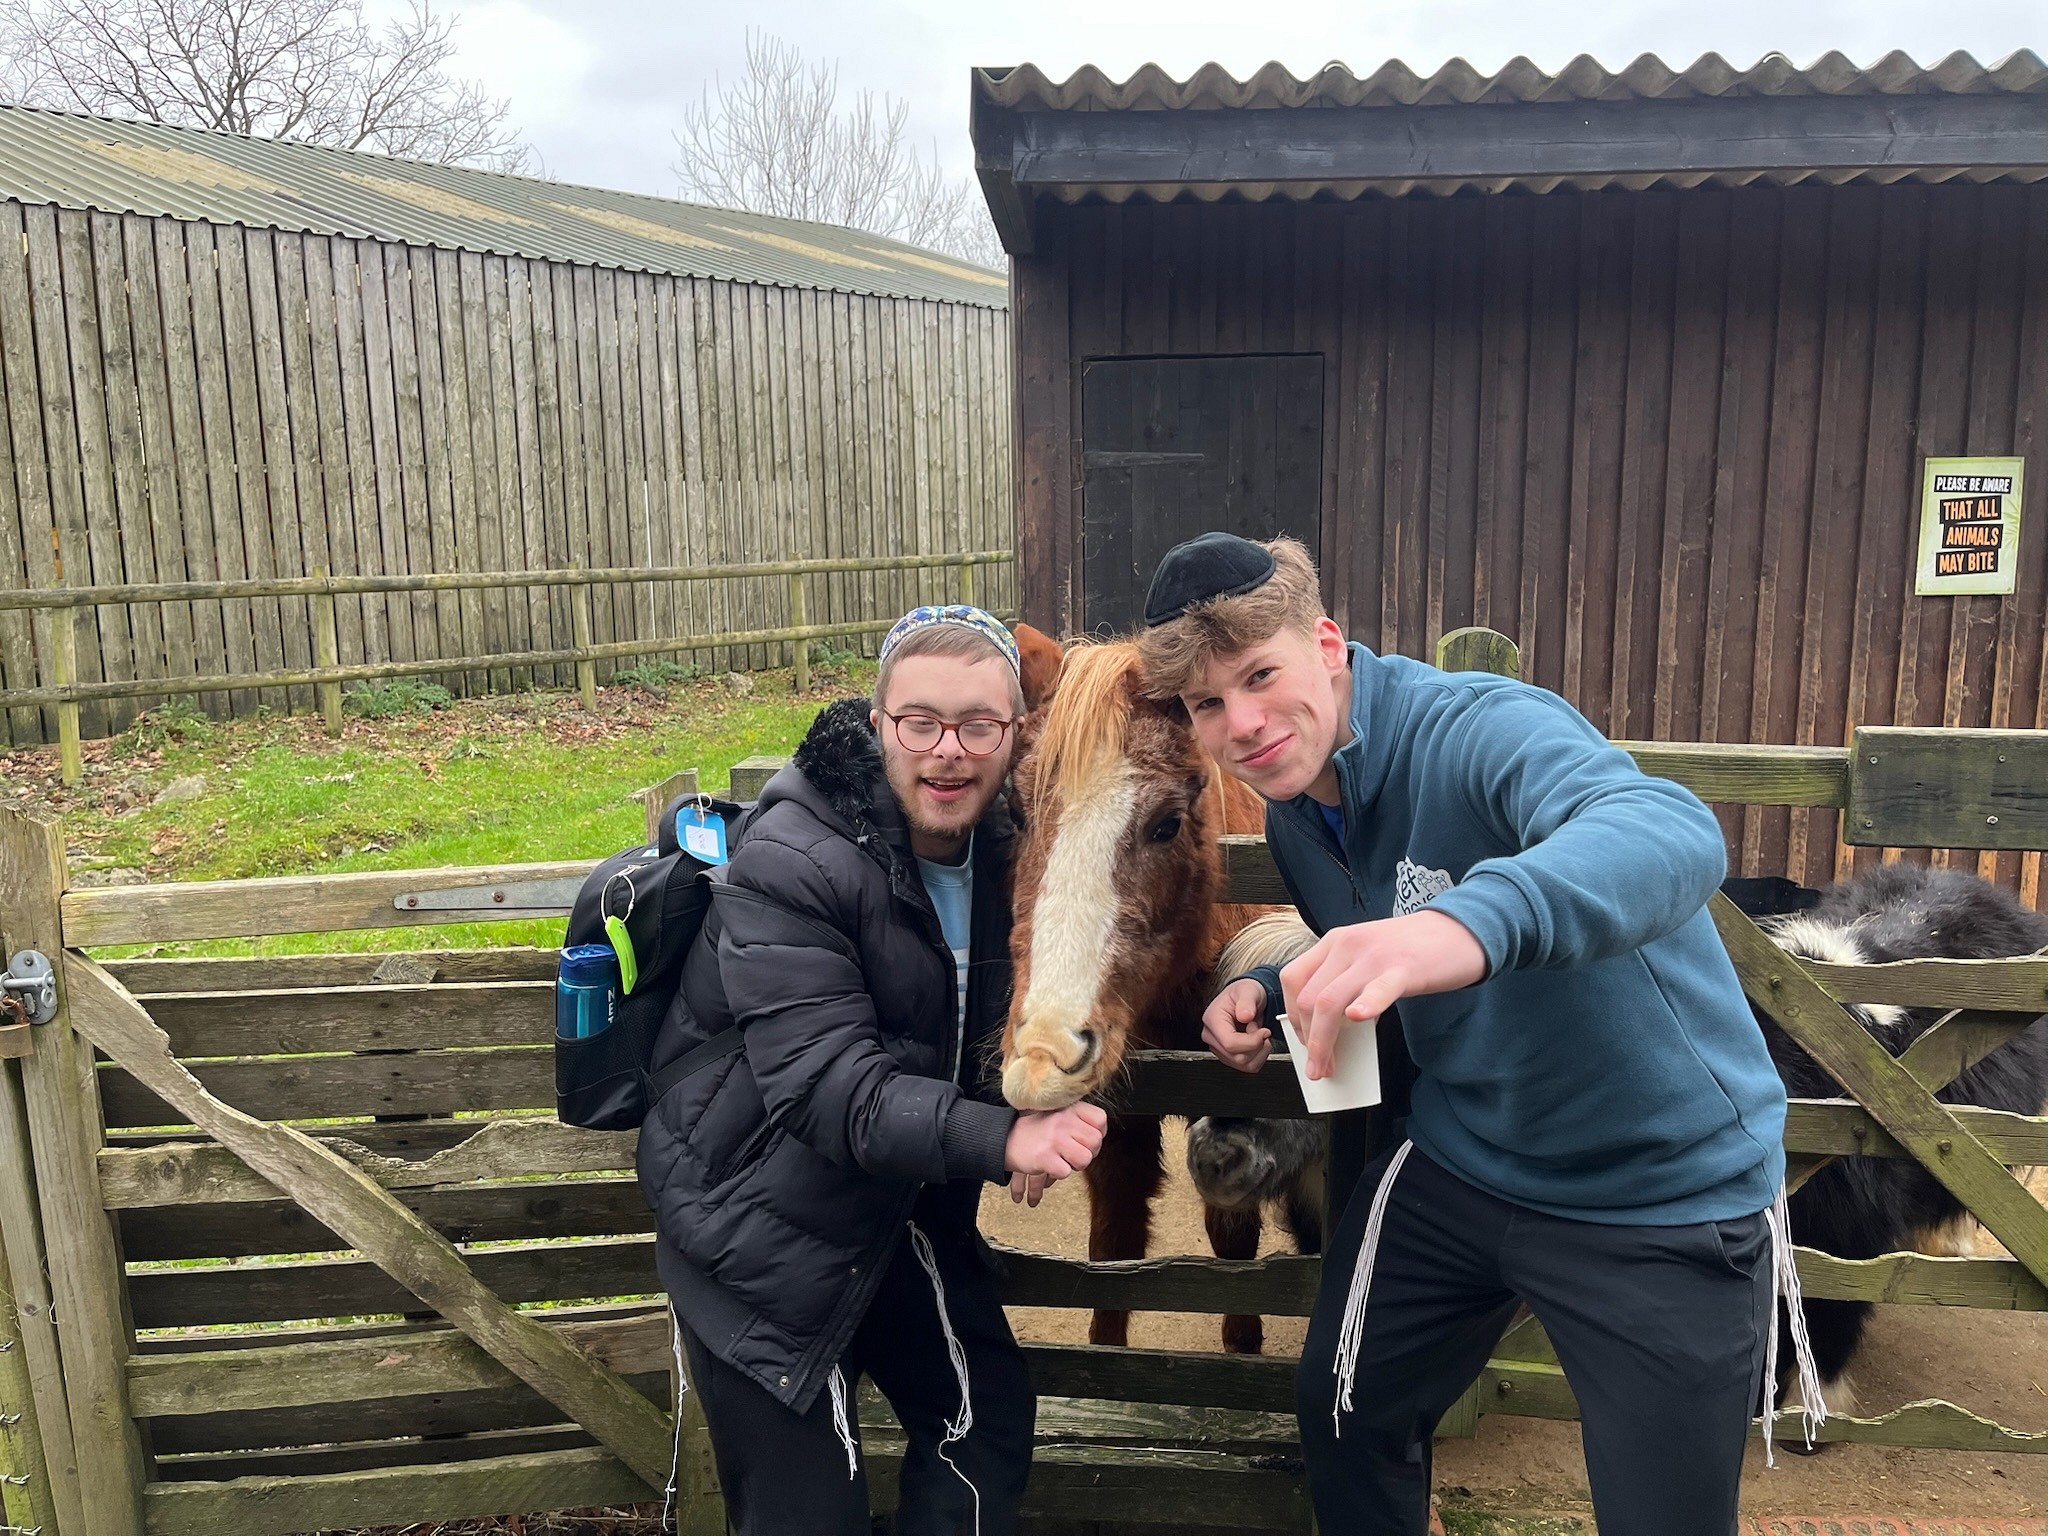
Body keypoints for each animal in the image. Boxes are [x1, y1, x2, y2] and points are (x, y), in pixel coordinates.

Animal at [1000, 627, 1308, 1352]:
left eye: (1167, 822)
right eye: (1015, 811)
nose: (1043, 1057)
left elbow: (1233, 1249)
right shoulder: (1119, 1135)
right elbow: (1114, 1257)